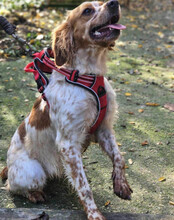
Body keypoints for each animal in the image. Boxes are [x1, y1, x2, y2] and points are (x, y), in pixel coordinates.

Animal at [0, 0, 133, 219]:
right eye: (87, 11)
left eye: (102, 3)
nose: (114, 3)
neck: (88, 76)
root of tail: (7, 166)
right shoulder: (68, 144)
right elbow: (84, 186)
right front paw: (94, 214)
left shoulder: (103, 128)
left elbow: (119, 157)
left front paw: (120, 184)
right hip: (33, 172)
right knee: (13, 186)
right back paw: (34, 194)